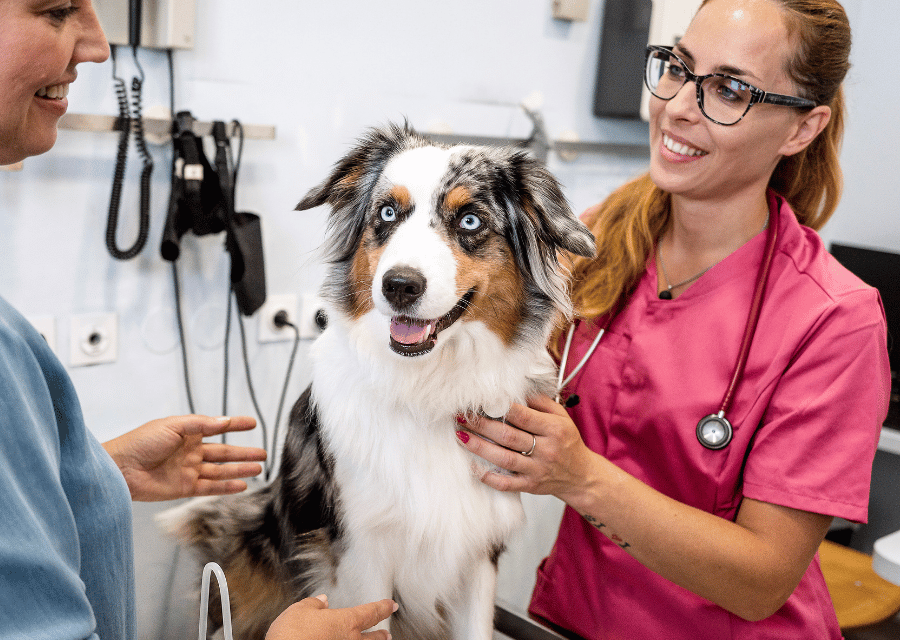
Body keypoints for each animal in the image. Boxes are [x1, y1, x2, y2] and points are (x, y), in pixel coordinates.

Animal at [160, 124, 596, 640]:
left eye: (470, 221)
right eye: (387, 213)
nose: (400, 285)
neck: (427, 387)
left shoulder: (478, 551)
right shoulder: (362, 554)